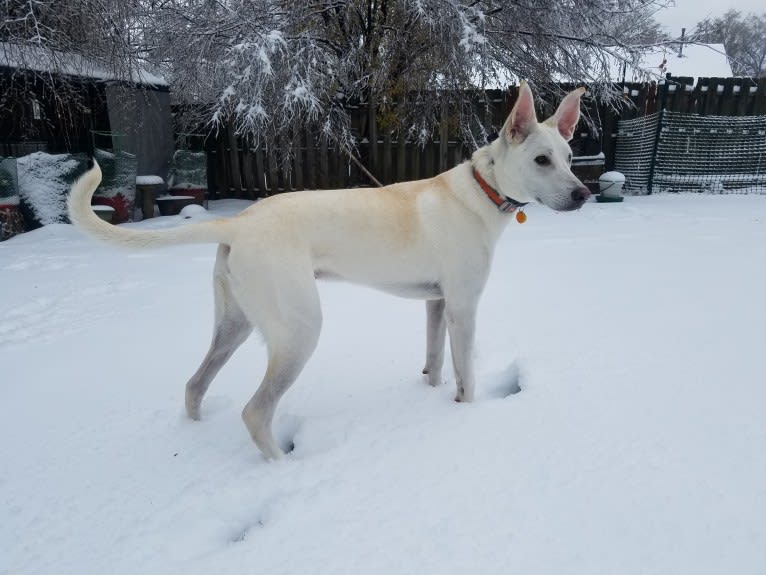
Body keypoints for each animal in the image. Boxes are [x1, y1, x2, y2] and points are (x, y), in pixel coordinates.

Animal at [69, 81, 592, 462]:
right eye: (541, 160)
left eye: (569, 158)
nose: (583, 194)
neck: (482, 190)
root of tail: (239, 221)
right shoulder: (463, 307)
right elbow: (466, 376)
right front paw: (465, 415)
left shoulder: (436, 302)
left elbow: (434, 362)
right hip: (299, 330)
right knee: (255, 412)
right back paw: (282, 466)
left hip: (235, 323)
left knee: (195, 385)